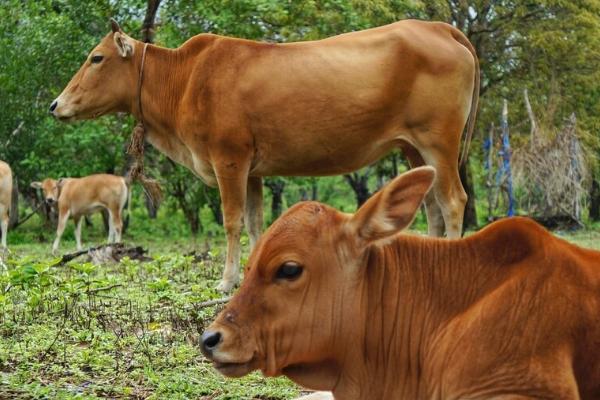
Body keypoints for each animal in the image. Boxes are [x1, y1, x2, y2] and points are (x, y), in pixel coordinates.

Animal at [52, 19, 482, 290]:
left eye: (96, 57)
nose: (56, 105)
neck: (186, 79)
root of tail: (437, 26)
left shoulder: (228, 160)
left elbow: (232, 221)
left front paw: (227, 280)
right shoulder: (253, 170)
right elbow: (257, 223)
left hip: (438, 143)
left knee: (453, 202)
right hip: (413, 149)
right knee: (431, 207)